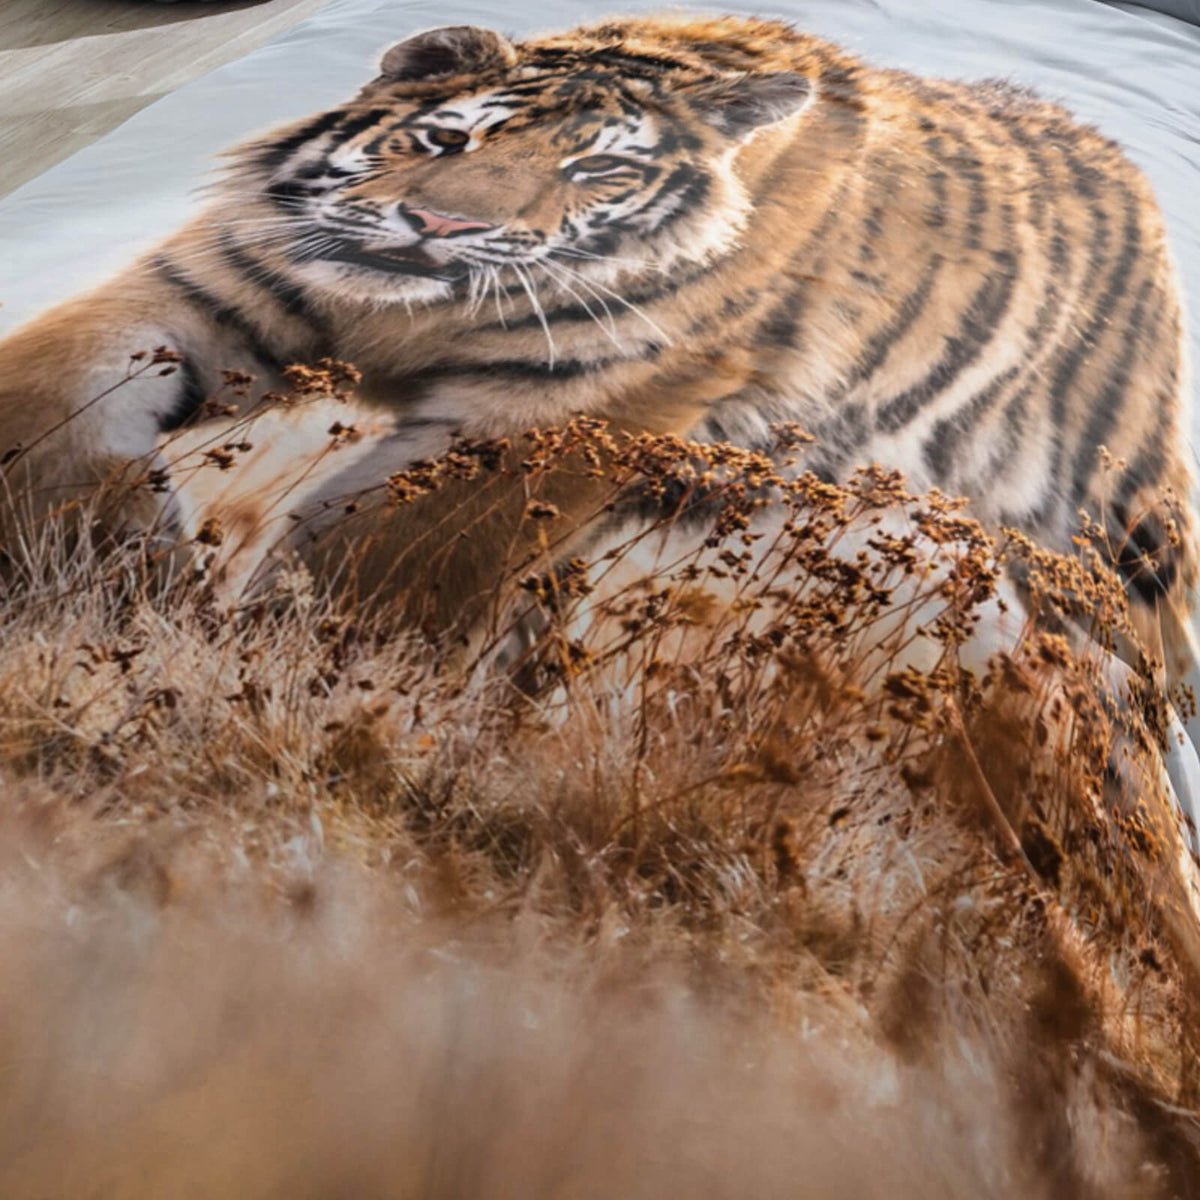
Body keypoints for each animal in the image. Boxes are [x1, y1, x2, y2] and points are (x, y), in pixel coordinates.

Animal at [0, 14, 1195, 701]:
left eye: (597, 177)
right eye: (448, 139)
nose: (436, 226)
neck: (409, 317)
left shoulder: (553, 414)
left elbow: (385, 542)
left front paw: (287, 651)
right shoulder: (209, 288)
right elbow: (63, 389)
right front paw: (93, 546)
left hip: (1115, 549)